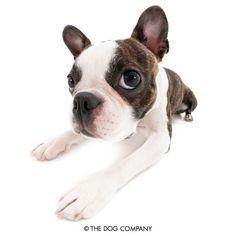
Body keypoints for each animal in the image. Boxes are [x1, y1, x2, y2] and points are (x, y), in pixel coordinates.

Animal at [31, 5, 197, 220]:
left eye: (131, 78)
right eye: (70, 81)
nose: (82, 100)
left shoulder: (160, 137)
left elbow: (125, 163)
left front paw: (90, 189)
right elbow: (72, 132)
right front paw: (53, 142)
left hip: (191, 97)